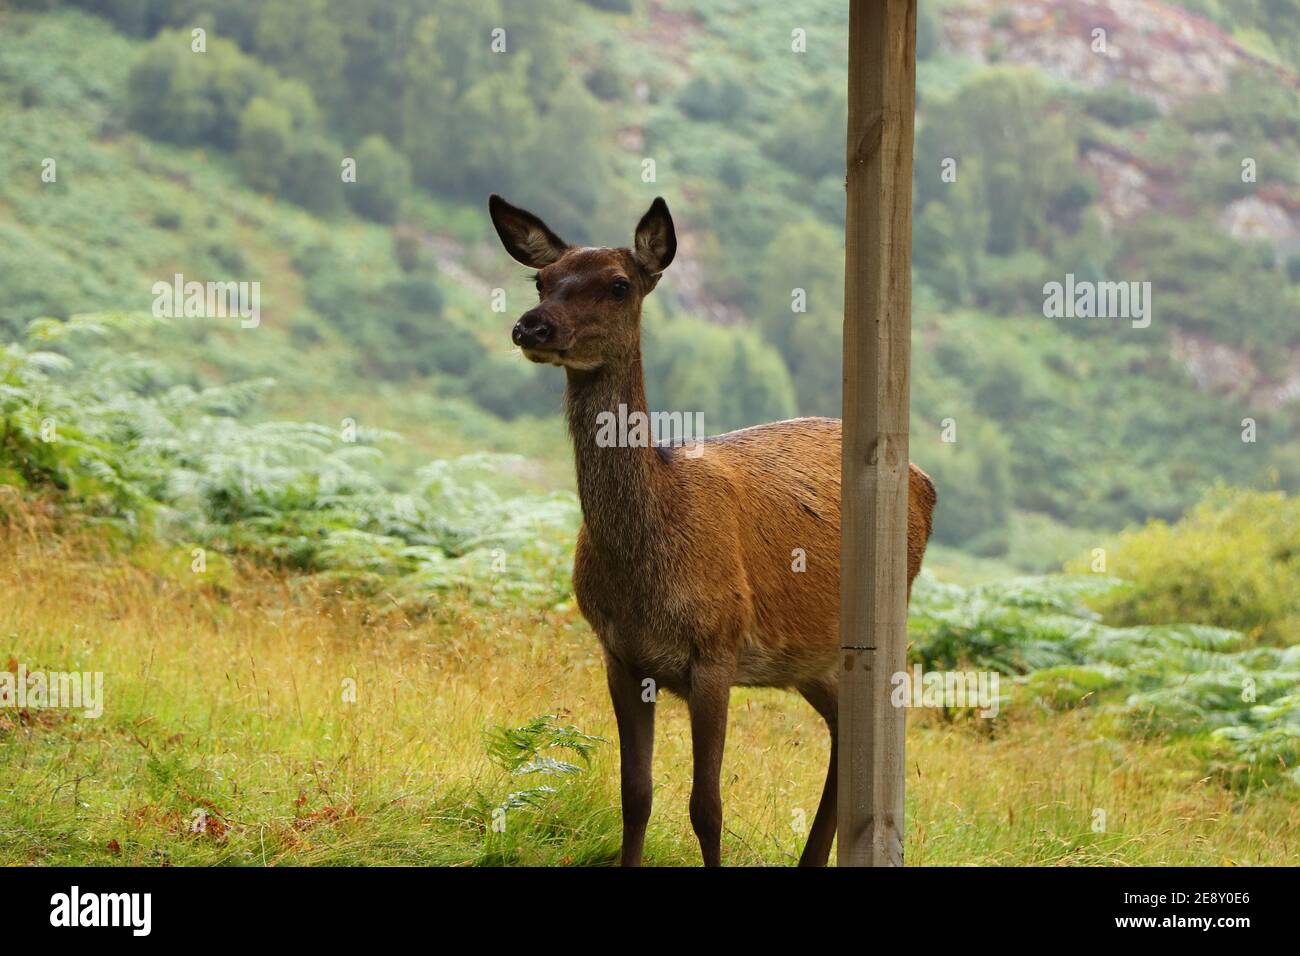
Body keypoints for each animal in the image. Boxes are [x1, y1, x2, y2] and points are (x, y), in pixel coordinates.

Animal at [488, 194, 936, 866]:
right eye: (542, 279)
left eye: (619, 284)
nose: (532, 327)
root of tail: (926, 483)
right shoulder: (619, 655)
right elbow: (635, 794)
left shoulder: (717, 649)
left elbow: (708, 806)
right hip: (811, 662)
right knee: (840, 732)